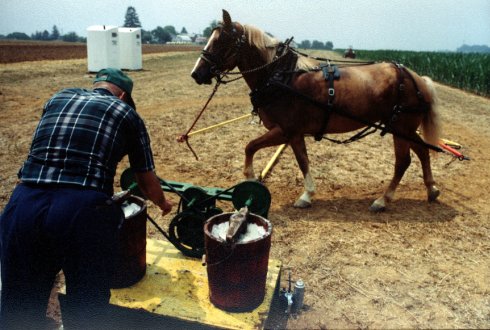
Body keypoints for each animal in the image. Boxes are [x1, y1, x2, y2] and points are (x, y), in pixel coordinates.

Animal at [190, 10, 440, 213]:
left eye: (220, 41)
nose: (196, 73)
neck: (280, 75)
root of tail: (416, 78)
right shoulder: (288, 132)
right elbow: (256, 148)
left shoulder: (288, 131)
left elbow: (290, 157)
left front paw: (304, 195)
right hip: (405, 128)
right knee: (422, 150)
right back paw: (431, 189)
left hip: (400, 128)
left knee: (403, 161)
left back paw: (383, 200)